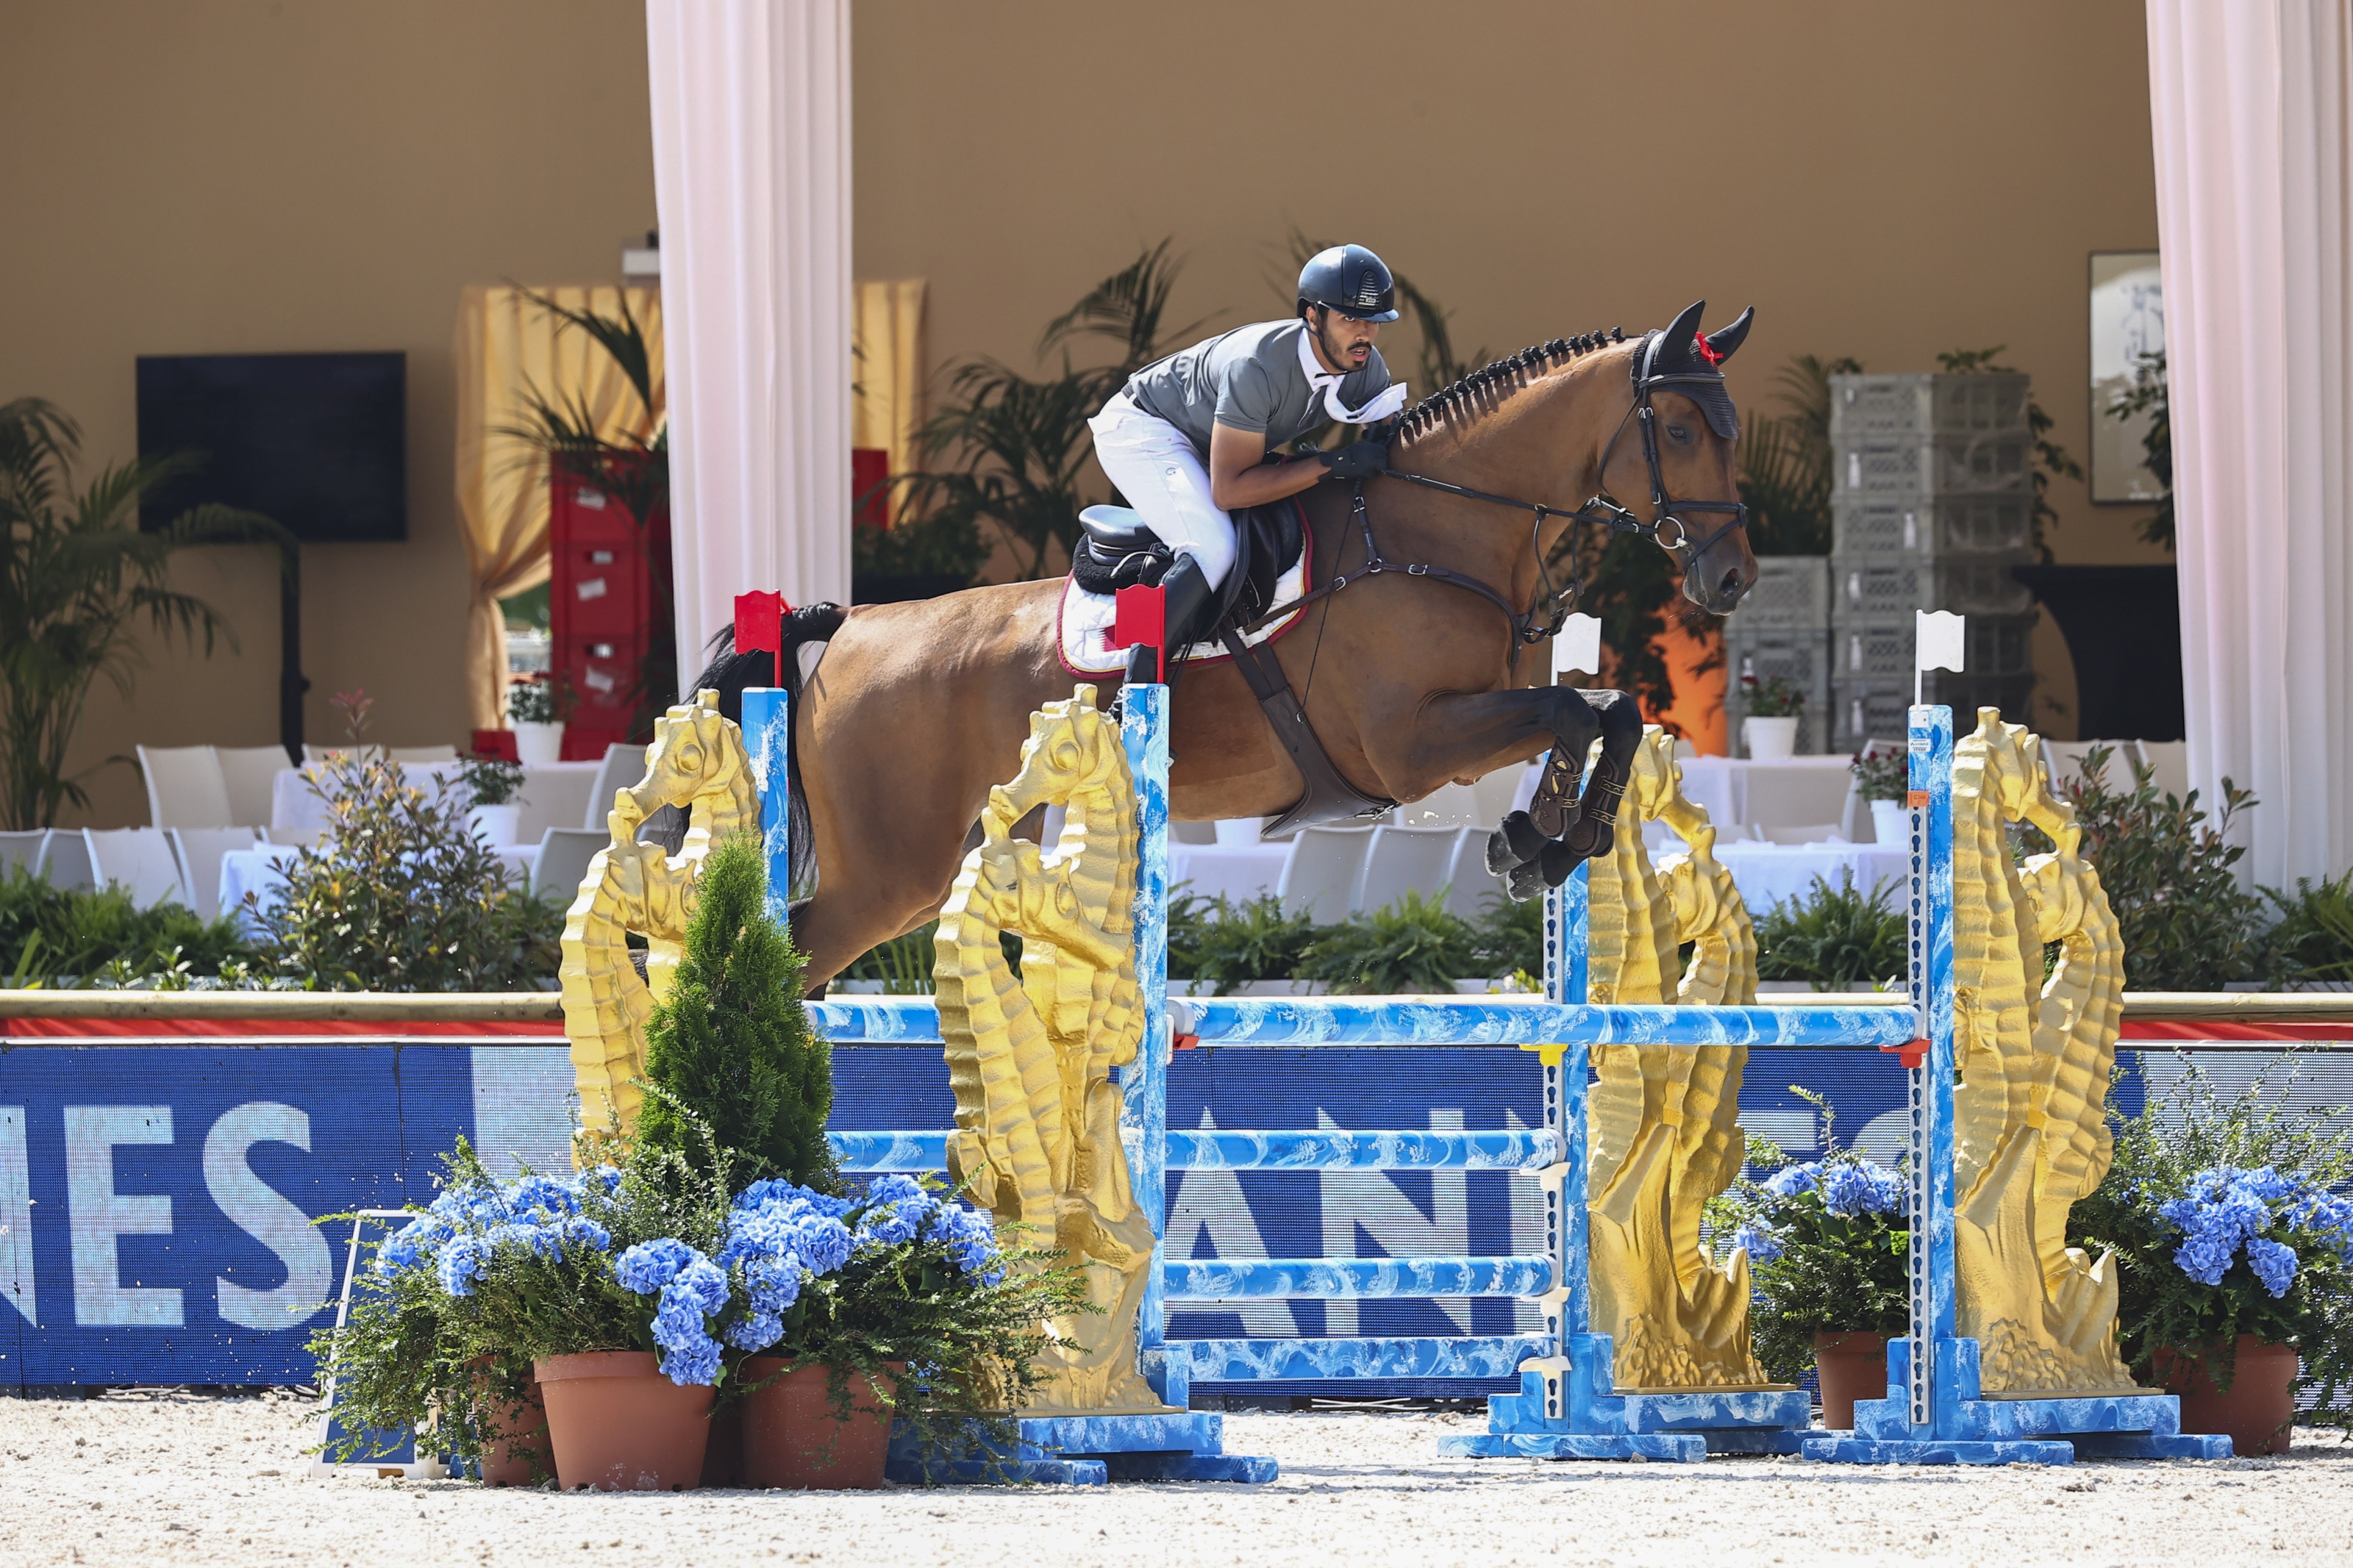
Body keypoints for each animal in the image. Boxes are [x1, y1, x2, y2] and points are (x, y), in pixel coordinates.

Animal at [735, 300, 1758, 986]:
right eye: (1676, 429)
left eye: (1731, 428)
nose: (1732, 579)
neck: (1437, 529)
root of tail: (857, 626)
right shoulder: (1411, 745)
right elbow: (1571, 711)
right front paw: (1534, 841)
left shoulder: (1461, 734)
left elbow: (1606, 710)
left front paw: (1552, 840)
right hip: (894, 867)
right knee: (791, 956)